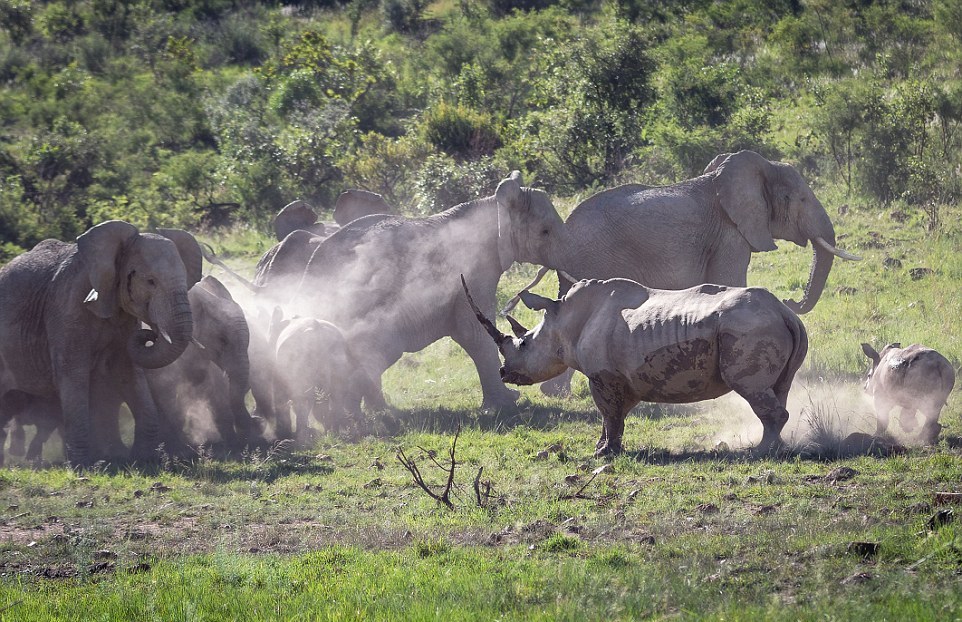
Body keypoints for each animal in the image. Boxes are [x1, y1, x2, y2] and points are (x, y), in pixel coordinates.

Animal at [0, 222, 201, 466]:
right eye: (150, 281)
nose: (150, 334)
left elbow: (127, 371)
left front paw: (143, 460)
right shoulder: (66, 308)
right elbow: (73, 374)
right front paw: (82, 465)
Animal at [462, 278, 808, 458]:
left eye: (523, 344)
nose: (504, 373)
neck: (563, 322)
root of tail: (785, 312)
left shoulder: (603, 375)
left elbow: (609, 413)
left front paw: (604, 454)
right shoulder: (620, 377)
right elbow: (613, 416)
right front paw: (602, 447)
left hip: (750, 328)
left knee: (752, 389)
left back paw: (761, 452)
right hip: (768, 326)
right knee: (779, 387)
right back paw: (775, 447)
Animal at [520, 149, 860, 398]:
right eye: (801, 200)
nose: (791, 301)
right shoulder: (729, 234)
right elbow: (731, 282)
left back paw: (554, 392)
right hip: (595, 259)